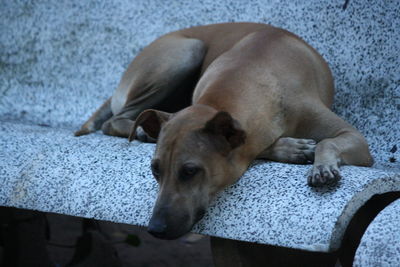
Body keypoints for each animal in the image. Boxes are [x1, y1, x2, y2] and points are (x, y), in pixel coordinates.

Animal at [76, 22, 376, 241]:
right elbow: (261, 145)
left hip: (188, 51)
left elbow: (327, 141)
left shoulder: (355, 137)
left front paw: (321, 166)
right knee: (114, 119)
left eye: (190, 171)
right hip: (184, 53)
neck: (250, 72)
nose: (155, 229)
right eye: (155, 170)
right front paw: (290, 148)